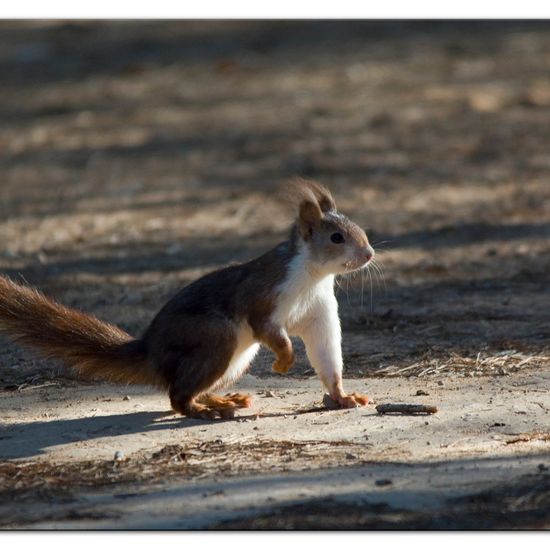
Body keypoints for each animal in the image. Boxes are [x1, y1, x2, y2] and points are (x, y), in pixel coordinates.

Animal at [0, 179, 376, 420]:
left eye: (360, 228)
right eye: (337, 238)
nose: (370, 254)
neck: (312, 277)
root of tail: (152, 352)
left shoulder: (319, 314)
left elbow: (327, 355)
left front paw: (343, 396)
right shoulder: (263, 295)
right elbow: (271, 331)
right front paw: (283, 362)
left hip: (236, 358)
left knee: (190, 389)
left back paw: (223, 400)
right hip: (215, 336)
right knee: (177, 397)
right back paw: (205, 411)